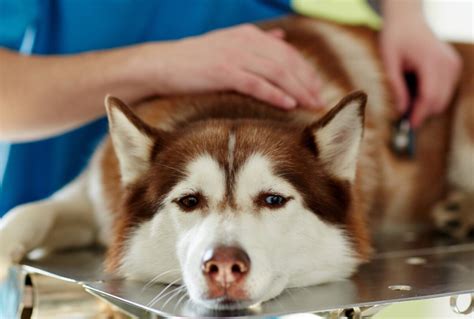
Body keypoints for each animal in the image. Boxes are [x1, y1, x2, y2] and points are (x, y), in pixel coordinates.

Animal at [0, 16, 474, 312]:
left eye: (273, 199)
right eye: (189, 201)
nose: (224, 266)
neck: (231, 101)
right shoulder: (94, 196)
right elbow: (26, 212)